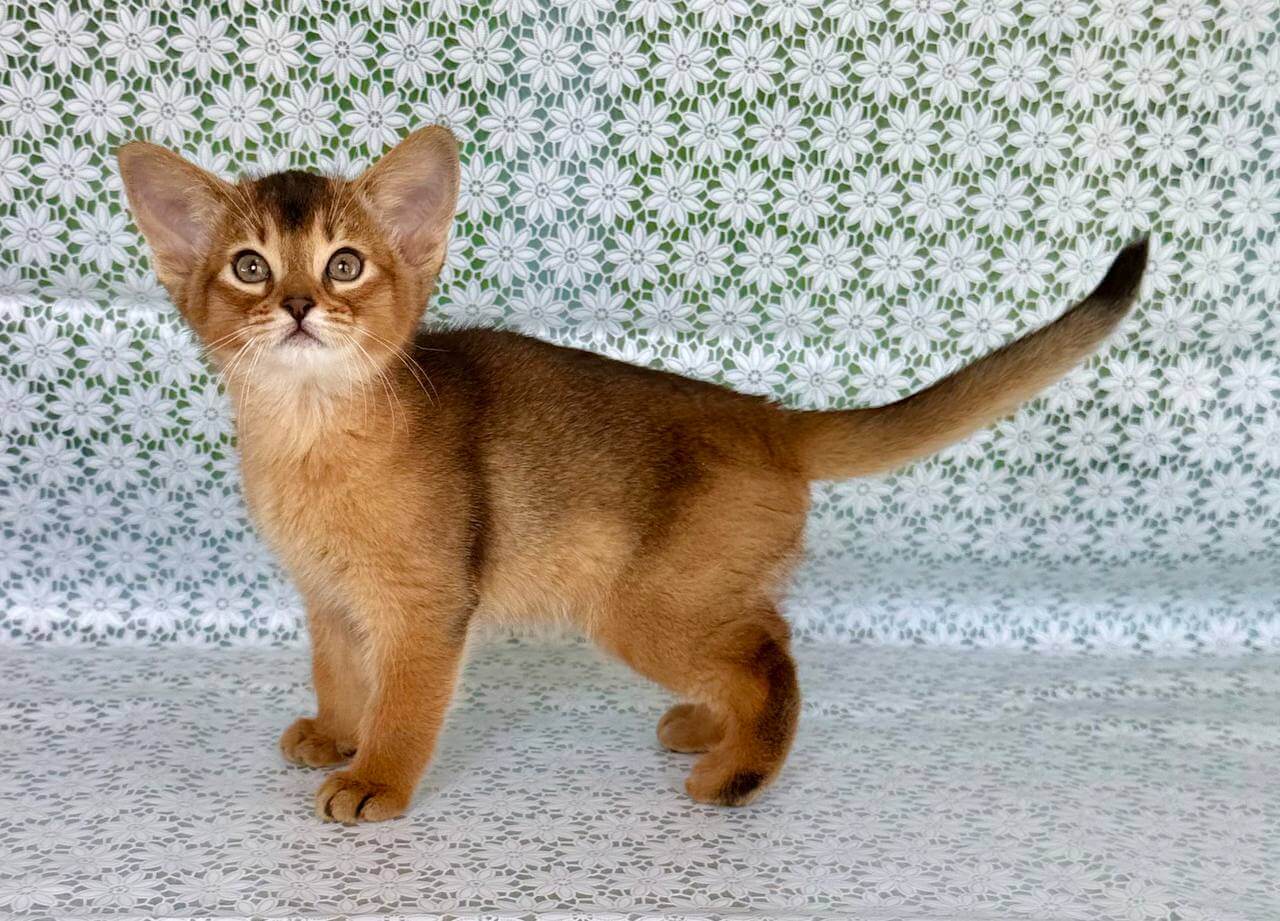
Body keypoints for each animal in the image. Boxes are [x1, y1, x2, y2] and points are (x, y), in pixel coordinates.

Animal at [117, 126, 1147, 823]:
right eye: (250, 267)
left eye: (344, 264)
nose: (297, 305)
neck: (309, 434)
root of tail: (767, 415)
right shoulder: (328, 596)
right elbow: (339, 670)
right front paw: (335, 731)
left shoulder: (424, 604)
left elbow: (405, 701)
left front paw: (374, 777)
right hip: (700, 584)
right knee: (768, 626)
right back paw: (714, 726)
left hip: (641, 605)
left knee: (770, 655)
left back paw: (738, 772)